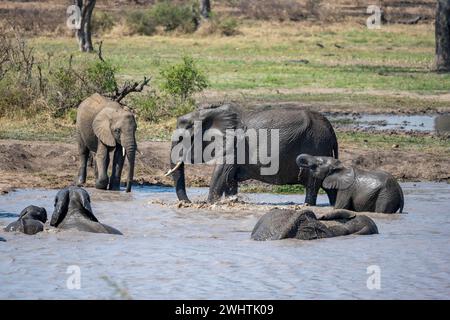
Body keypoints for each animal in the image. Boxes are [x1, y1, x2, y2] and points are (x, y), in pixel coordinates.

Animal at [165, 105, 338, 205]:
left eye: (181, 138)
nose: (188, 203)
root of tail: (331, 129)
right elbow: (230, 179)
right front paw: (232, 201)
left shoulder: (234, 144)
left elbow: (221, 173)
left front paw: (209, 204)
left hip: (317, 145)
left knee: (313, 185)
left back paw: (308, 205)